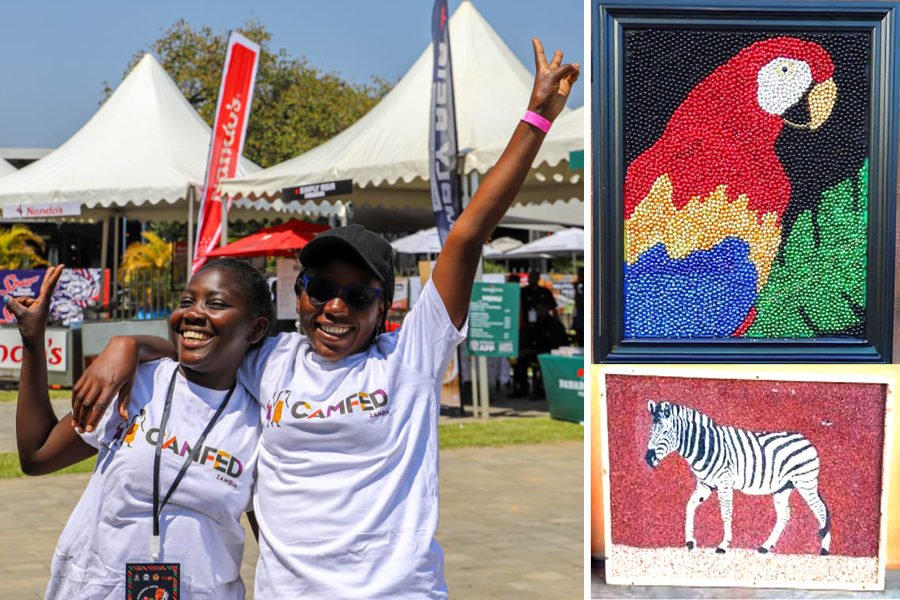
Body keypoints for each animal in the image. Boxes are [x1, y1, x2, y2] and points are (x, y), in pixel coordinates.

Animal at [648, 400, 828, 556]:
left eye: (665, 432)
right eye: (650, 431)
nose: (648, 458)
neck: (705, 445)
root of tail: (806, 440)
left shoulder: (724, 483)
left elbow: (726, 512)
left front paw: (723, 545)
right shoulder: (705, 485)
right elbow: (690, 506)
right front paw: (690, 541)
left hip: (805, 482)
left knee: (820, 509)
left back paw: (824, 550)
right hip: (783, 488)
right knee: (785, 515)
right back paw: (765, 547)